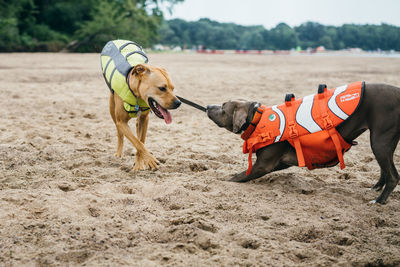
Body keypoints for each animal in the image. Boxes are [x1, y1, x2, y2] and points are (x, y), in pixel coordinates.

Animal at [208, 82, 400, 204]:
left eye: (223, 106)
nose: (209, 106)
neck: (257, 119)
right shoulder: (280, 163)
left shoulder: (263, 165)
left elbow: (237, 177)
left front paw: (223, 180)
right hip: (384, 142)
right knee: (385, 170)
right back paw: (375, 189)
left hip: (379, 141)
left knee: (393, 176)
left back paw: (379, 201)